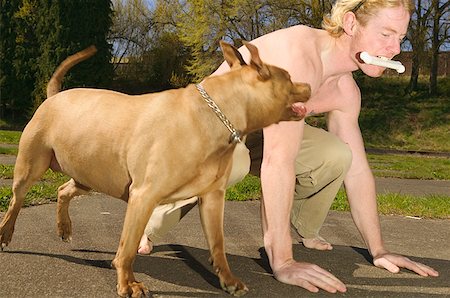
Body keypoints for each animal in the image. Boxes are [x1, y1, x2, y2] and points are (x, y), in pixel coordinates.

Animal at [0, 40, 310, 296]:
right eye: (288, 77)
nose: (308, 86)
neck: (216, 114)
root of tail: (53, 96)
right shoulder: (143, 196)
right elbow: (127, 248)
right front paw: (127, 284)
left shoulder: (212, 199)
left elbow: (218, 244)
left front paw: (229, 281)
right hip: (30, 168)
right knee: (16, 202)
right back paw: (6, 234)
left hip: (89, 174)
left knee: (63, 190)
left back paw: (64, 228)